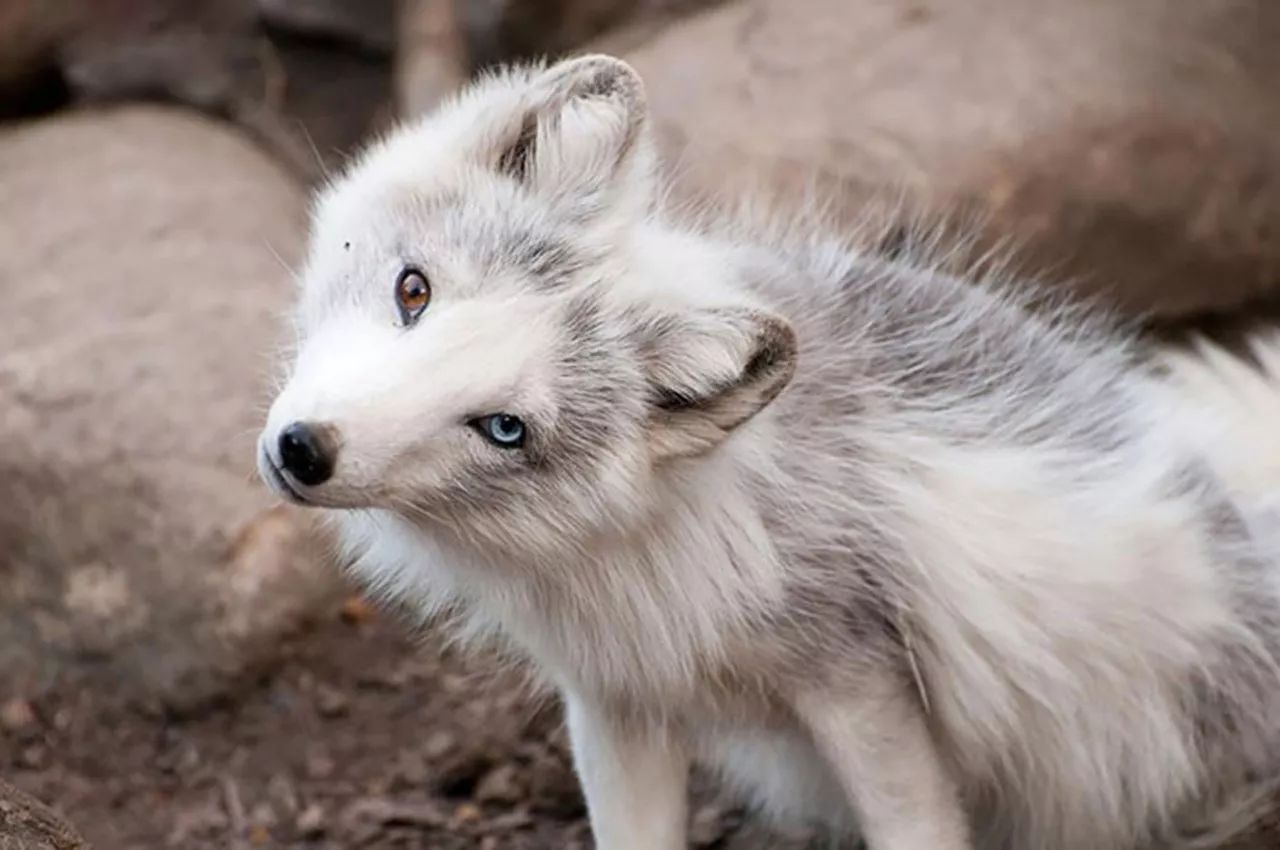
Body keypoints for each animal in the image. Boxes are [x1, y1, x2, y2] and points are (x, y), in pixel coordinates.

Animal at [254, 54, 1280, 850]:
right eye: (413, 290)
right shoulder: (615, 698)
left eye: (506, 427)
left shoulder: (858, 681)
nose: (302, 452)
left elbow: (915, 826)